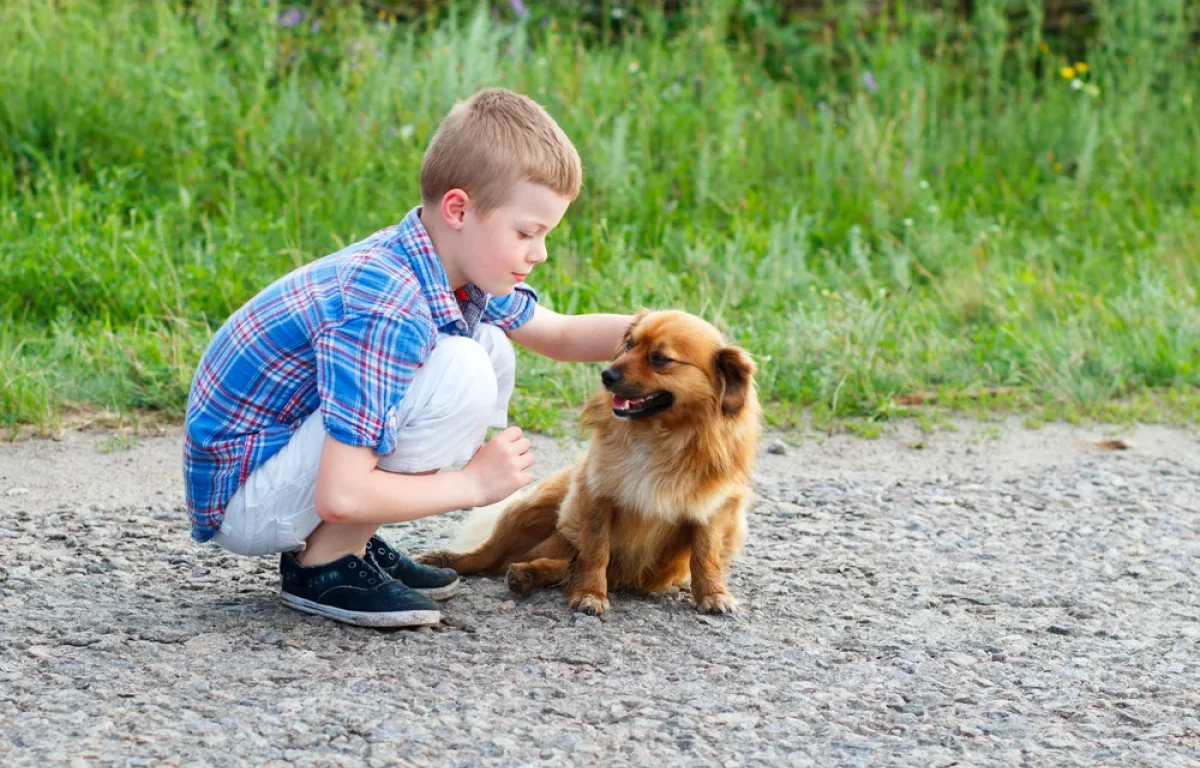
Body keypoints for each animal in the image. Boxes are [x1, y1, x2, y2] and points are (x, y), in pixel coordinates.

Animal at [420, 309, 758, 614]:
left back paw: (527, 574)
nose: (607, 376)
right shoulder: (597, 496)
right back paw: (451, 561)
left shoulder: (712, 509)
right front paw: (590, 594)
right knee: (491, 556)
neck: (659, 437)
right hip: (527, 511)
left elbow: (705, 556)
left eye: (660, 358)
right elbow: (596, 552)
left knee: (562, 565)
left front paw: (713, 594)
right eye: (628, 345)